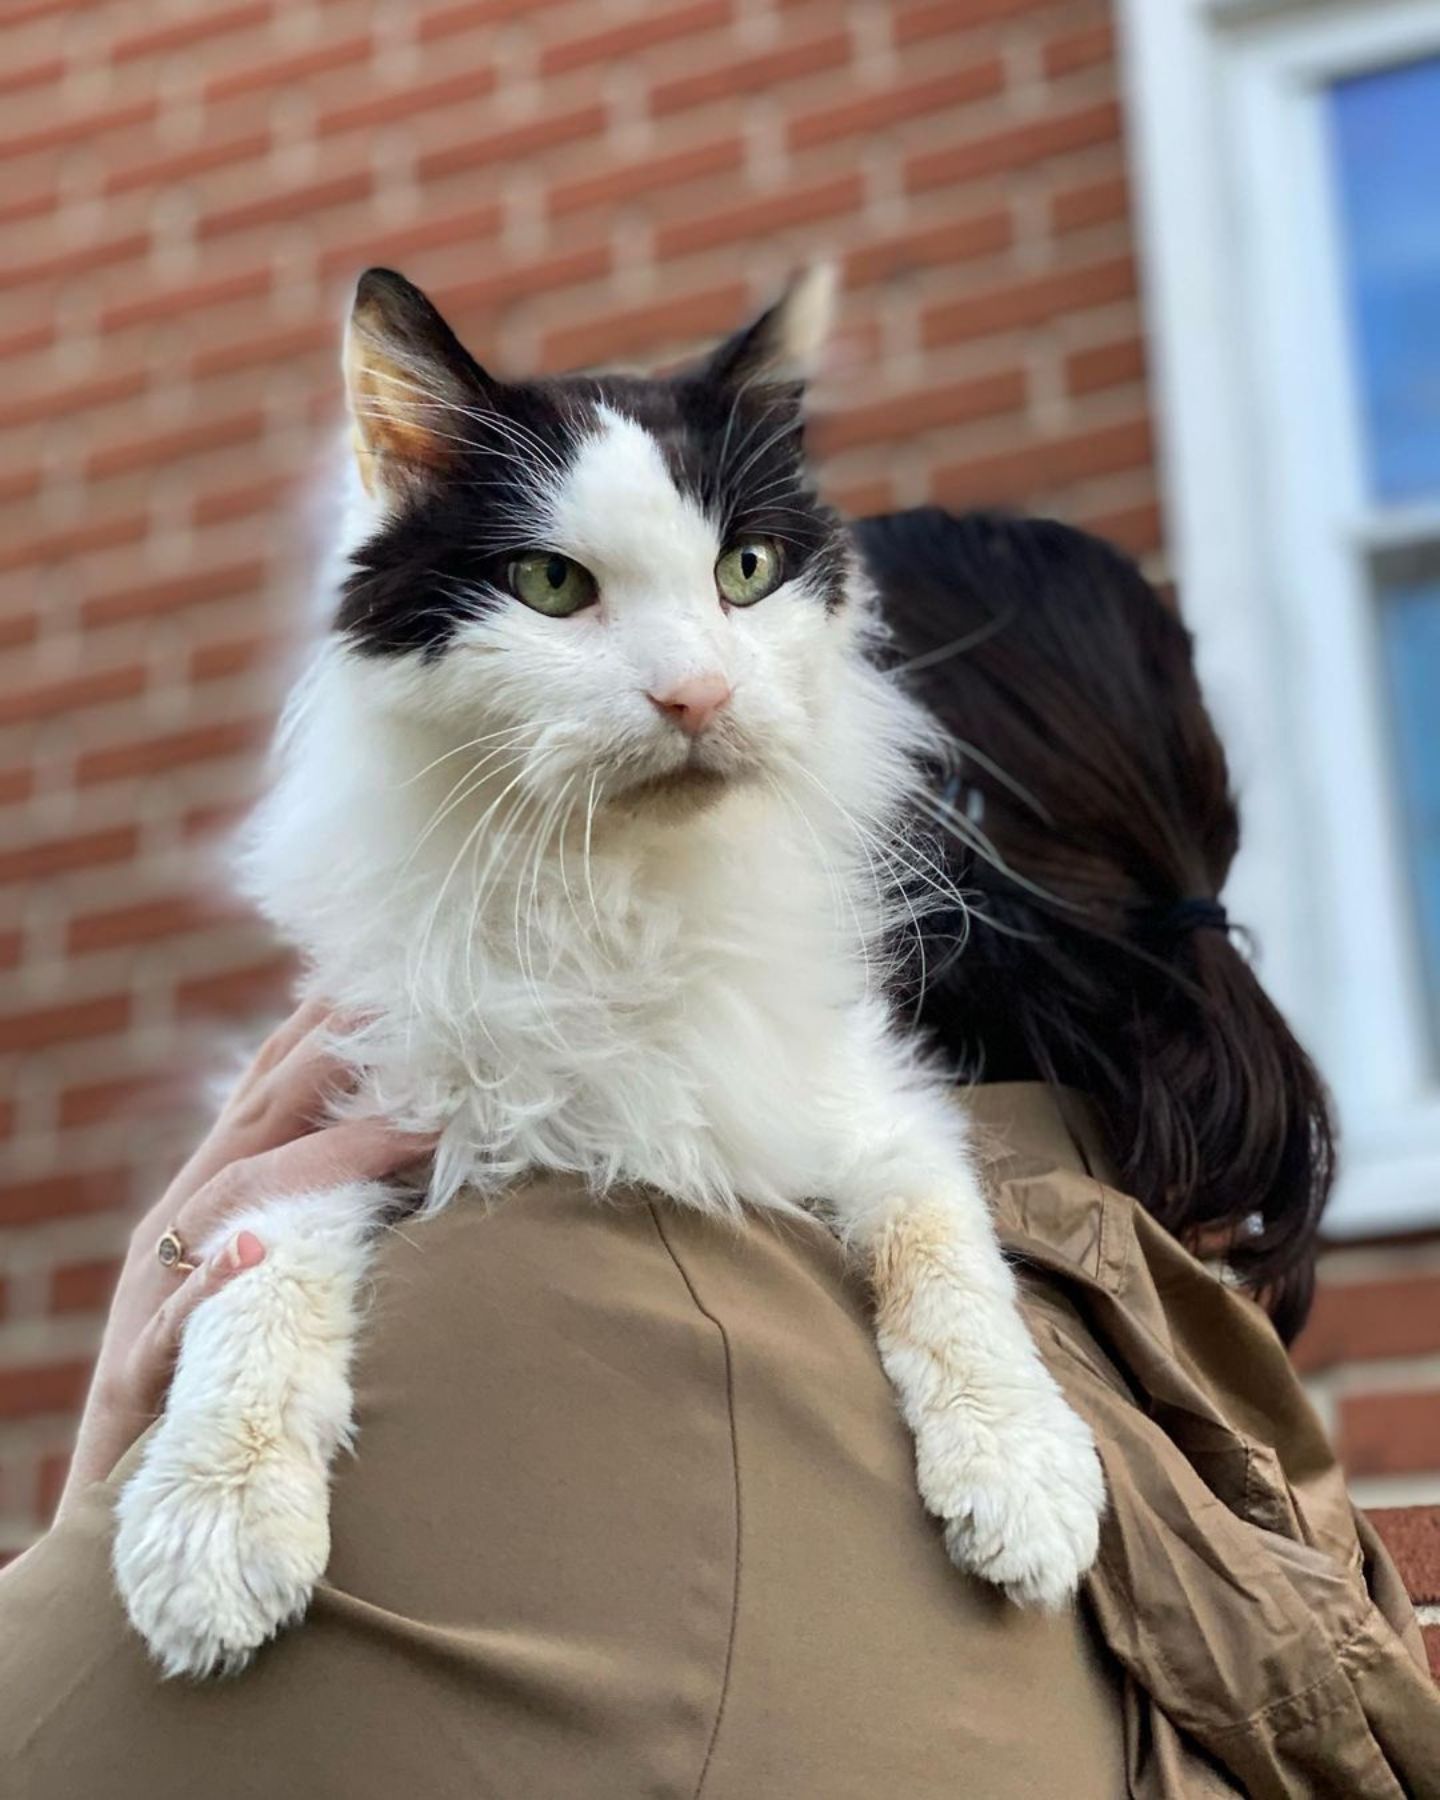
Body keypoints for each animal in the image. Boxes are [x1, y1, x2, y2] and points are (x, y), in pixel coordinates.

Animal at [112, 262, 1101, 1670]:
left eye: (746, 570)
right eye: (548, 584)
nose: (697, 697)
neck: (614, 892)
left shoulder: (869, 1100)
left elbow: (946, 1250)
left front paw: (1021, 1469)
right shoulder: (344, 1100)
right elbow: (251, 1265)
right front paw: (212, 1521)